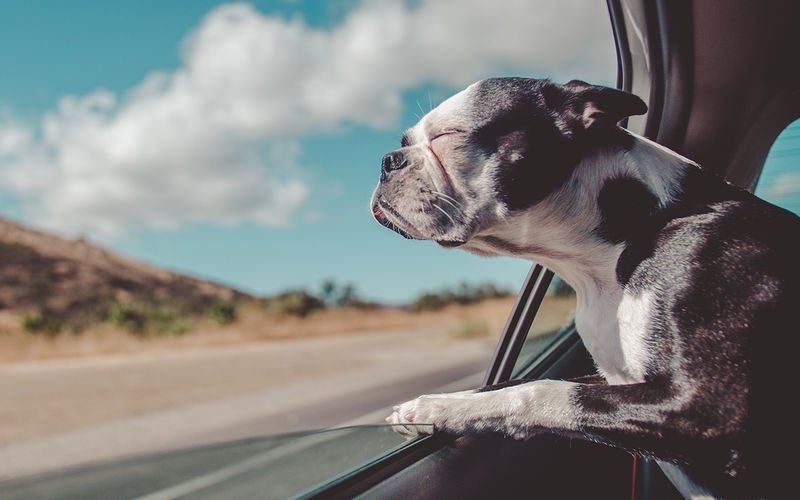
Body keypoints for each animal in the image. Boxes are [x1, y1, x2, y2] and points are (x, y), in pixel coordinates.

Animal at [372, 76, 800, 498]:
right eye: (405, 141)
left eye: (448, 136)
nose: (388, 159)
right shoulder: (614, 377)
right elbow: (507, 383)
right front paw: (434, 405)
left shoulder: (704, 407)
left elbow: (538, 391)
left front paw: (441, 408)